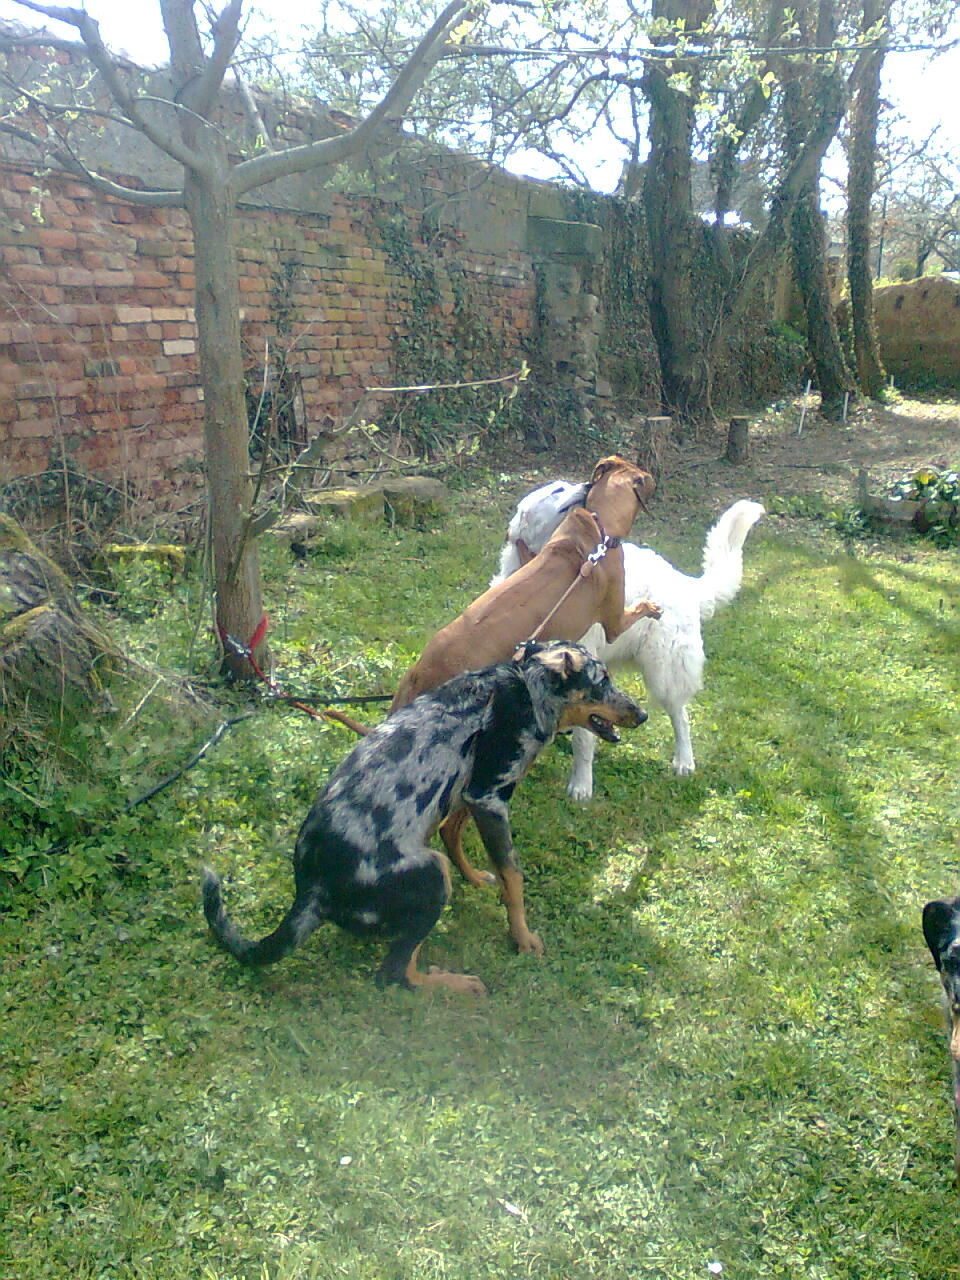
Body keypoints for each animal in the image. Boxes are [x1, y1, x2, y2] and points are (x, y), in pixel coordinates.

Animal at [203, 645, 647, 993]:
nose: (642, 714)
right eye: (602, 680)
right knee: (395, 974)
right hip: (433, 874)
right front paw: (522, 938)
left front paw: (477, 878)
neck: (525, 687)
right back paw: (456, 984)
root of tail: (310, 891)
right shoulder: (489, 798)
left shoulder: (465, 794)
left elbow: (457, 836)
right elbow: (514, 876)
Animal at [491, 481, 762, 793]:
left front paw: (581, 785)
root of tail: (683, 581)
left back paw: (684, 761)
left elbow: (585, 741)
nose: (587, 485)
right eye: (557, 489)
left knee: (680, 716)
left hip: (663, 674)